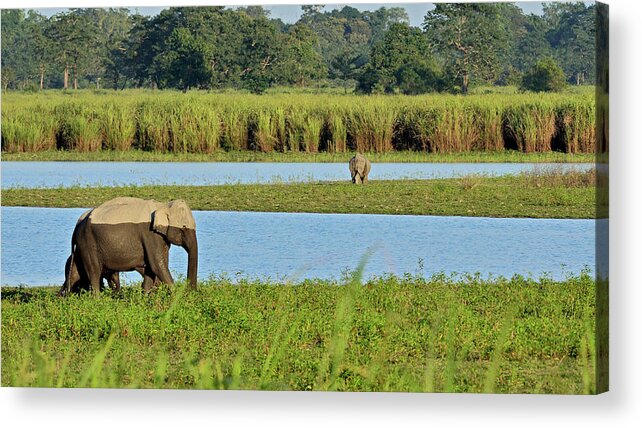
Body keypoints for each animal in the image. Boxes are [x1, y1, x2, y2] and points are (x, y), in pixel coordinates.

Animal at [63, 196, 198, 294]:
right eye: (183, 227)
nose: (192, 292)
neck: (162, 205)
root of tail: (79, 223)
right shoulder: (149, 234)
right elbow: (157, 265)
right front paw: (178, 298)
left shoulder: (159, 237)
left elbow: (152, 266)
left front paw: (145, 298)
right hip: (88, 241)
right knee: (94, 272)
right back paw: (97, 300)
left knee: (75, 274)